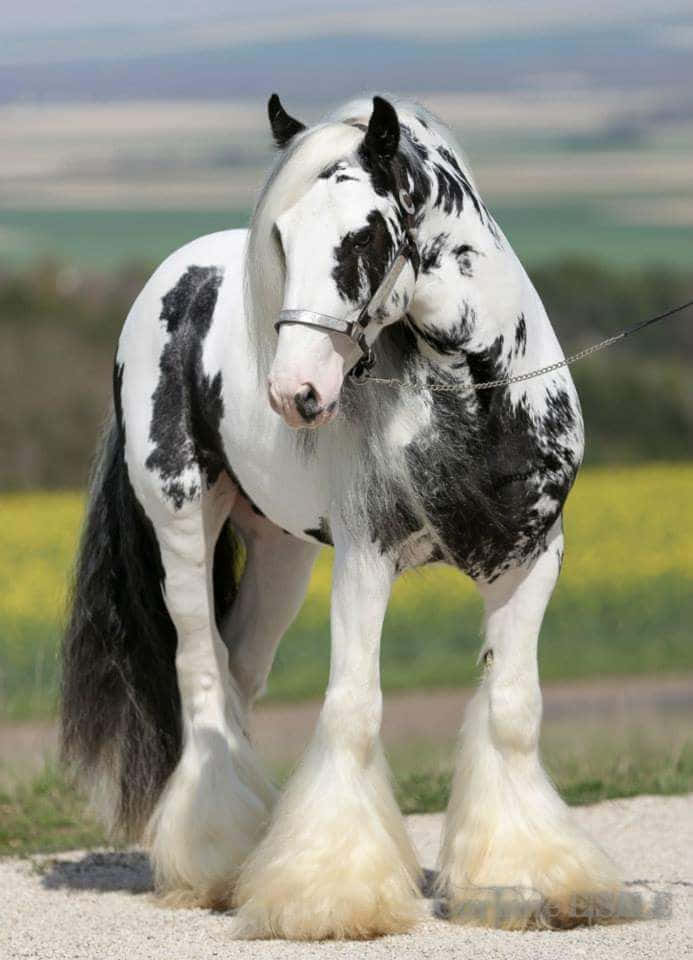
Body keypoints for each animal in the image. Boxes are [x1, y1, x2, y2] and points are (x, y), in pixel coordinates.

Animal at [61, 93, 620, 939]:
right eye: (281, 237)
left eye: (364, 235)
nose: (294, 392)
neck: (473, 398)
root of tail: (170, 279)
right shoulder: (365, 559)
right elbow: (353, 711)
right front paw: (330, 896)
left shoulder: (529, 561)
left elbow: (513, 712)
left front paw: (529, 881)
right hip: (183, 524)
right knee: (202, 678)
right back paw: (215, 864)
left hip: (281, 555)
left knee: (238, 673)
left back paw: (247, 850)